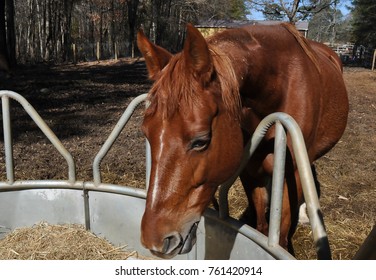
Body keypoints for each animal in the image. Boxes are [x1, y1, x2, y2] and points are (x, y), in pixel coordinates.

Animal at [137, 23, 348, 260]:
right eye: (147, 133)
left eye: (201, 141)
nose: (155, 240)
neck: (278, 87)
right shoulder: (250, 171)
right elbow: (262, 225)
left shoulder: (290, 175)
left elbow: (282, 236)